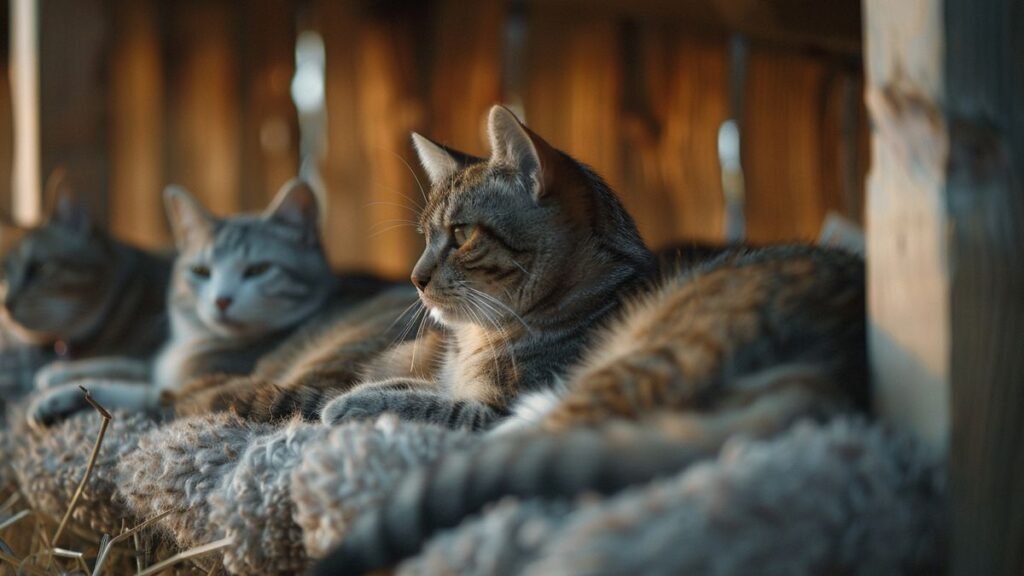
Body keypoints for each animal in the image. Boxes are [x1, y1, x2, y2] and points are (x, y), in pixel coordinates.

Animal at [319, 106, 655, 430]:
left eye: (461, 233)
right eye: (425, 236)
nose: (415, 279)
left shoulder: (502, 411)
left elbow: (427, 404)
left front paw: (345, 404)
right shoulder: (449, 384)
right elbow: (414, 385)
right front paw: (358, 391)